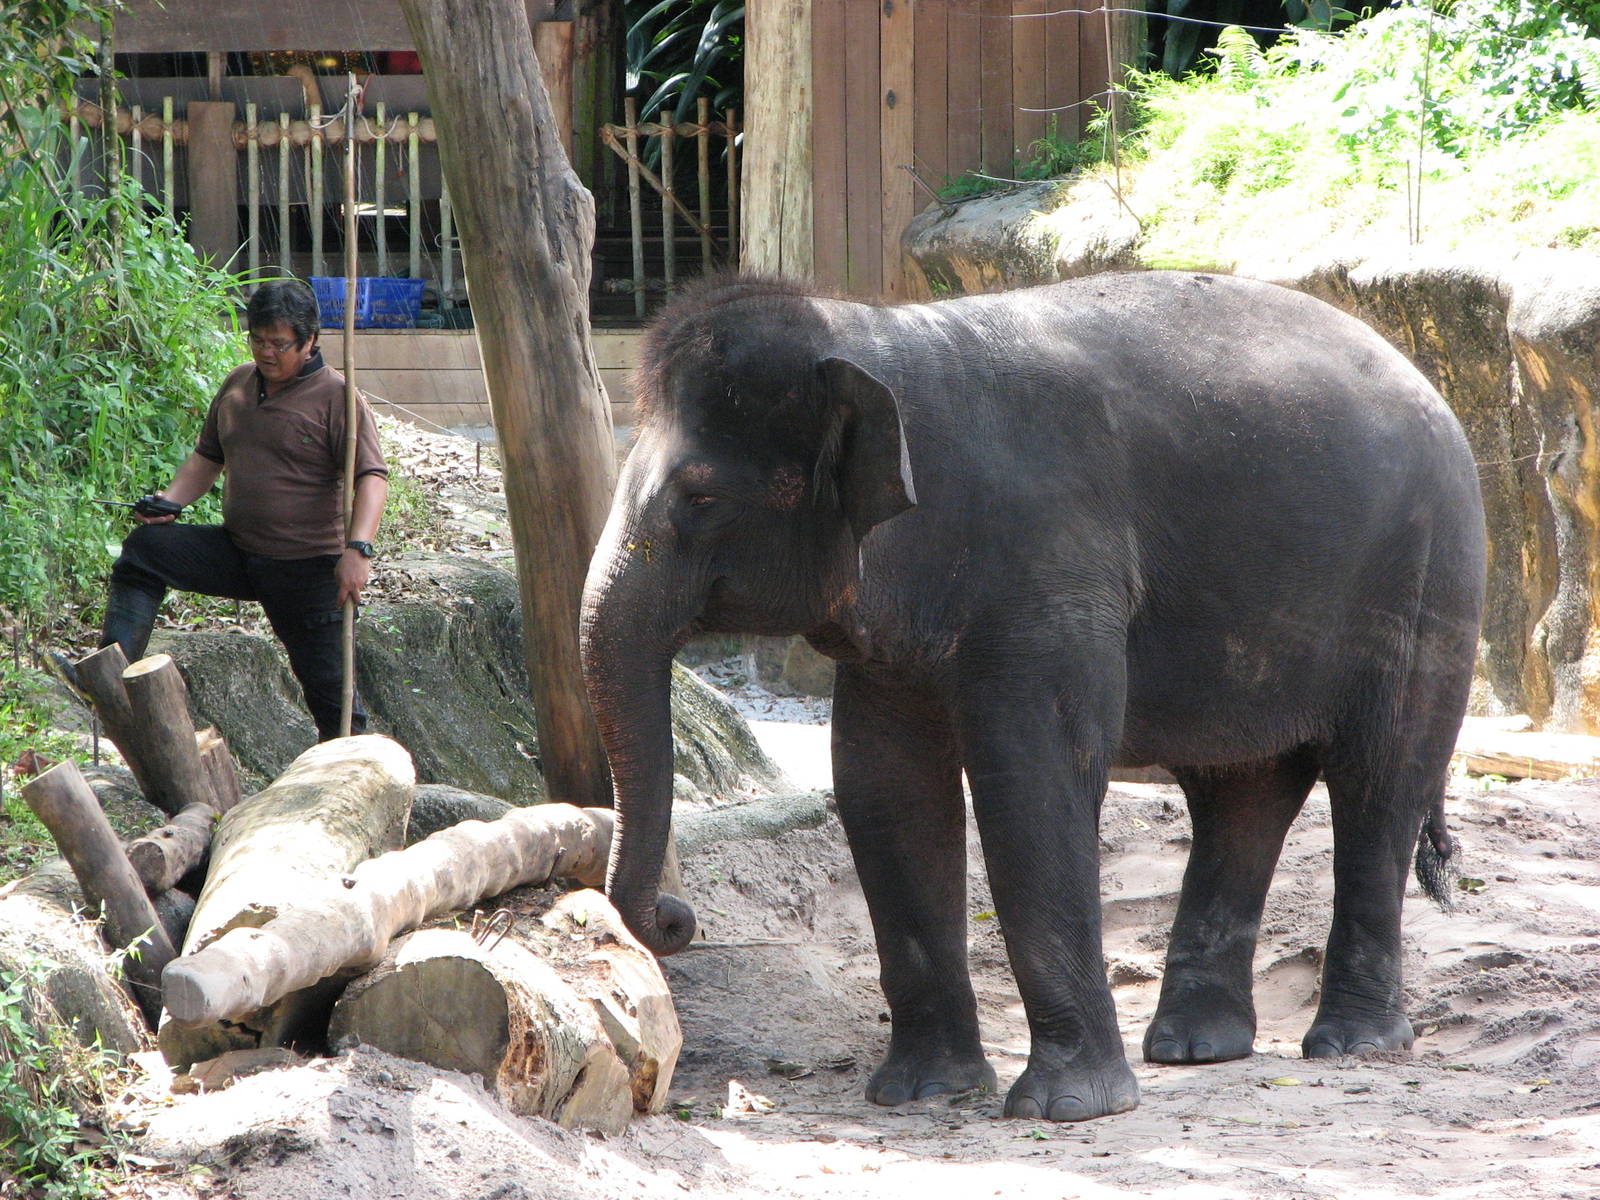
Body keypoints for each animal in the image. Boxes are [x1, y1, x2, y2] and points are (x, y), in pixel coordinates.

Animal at [579, 270, 1486, 1123]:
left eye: (700, 498)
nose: (673, 917)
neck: (873, 335)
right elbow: (884, 785)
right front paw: (921, 1093)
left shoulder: (1051, 568)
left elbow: (1033, 777)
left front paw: (1068, 1108)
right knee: (1242, 792)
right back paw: (1197, 1048)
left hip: (1431, 582)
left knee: (1380, 783)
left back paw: (1351, 1046)